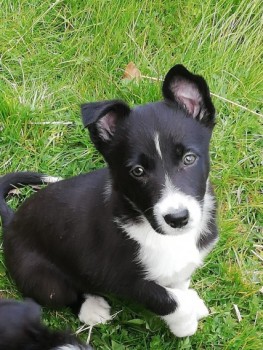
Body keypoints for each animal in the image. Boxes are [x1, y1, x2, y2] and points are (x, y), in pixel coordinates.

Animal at [0, 64, 219, 338]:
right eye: (137, 171)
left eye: (189, 158)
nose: (177, 218)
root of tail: (12, 221)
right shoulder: (122, 278)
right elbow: (166, 299)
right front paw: (185, 322)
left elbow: (178, 282)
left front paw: (189, 299)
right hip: (42, 278)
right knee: (63, 293)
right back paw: (91, 308)